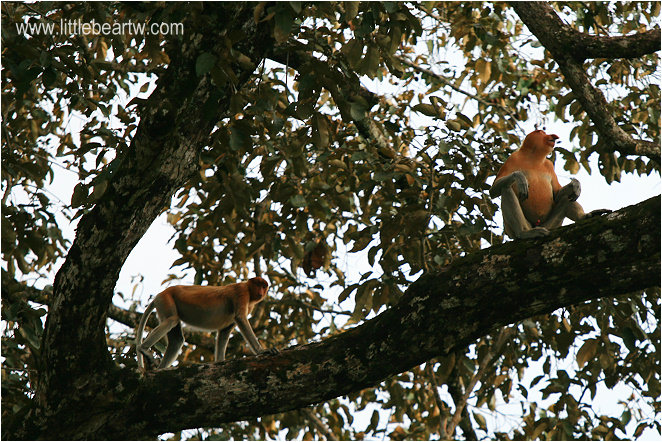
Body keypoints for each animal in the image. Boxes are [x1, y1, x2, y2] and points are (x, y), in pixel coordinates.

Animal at [136, 276, 276, 370]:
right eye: (258, 285)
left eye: (264, 286)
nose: (261, 292)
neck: (248, 288)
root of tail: (159, 294)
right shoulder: (241, 293)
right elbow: (241, 318)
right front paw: (262, 351)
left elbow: (224, 332)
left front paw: (220, 361)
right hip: (166, 300)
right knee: (172, 320)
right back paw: (143, 349)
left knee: (176, 340)